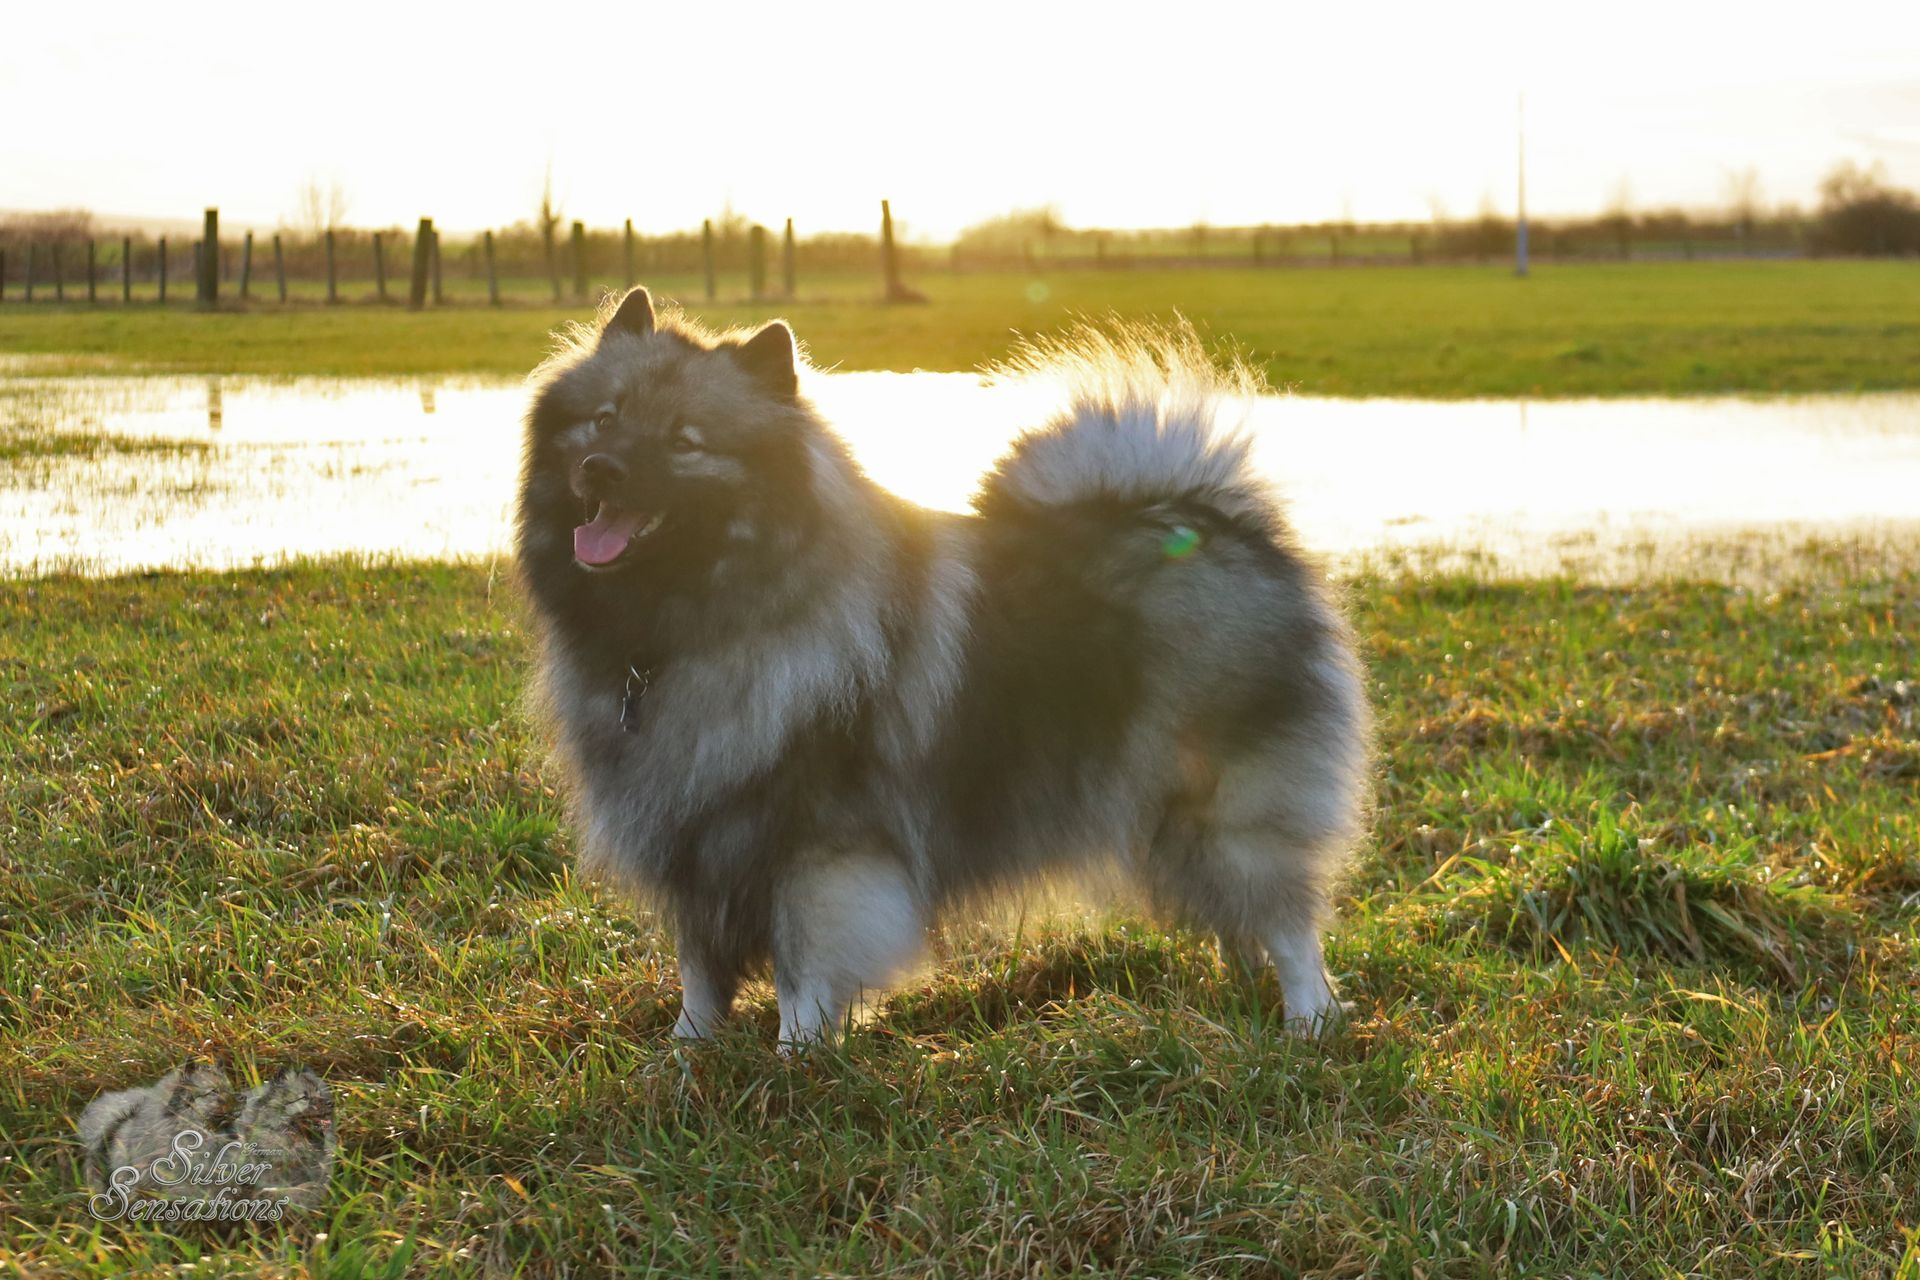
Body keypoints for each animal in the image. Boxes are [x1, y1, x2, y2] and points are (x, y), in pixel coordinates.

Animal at [515, 286, 1370, 1046]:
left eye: (685, 441)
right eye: (605, 418)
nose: (602, 468)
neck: (689, 632)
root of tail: (1217, 518)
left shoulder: (819, 854)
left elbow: (803, 976)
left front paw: (797, 1061)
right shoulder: (696, 841)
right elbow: (699, 975)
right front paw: (685, 1057)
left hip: (1230, 813)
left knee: (1290, 922)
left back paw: (1308, 1022)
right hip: (1172, 821)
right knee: (1240, 916)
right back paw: (1241, 991)